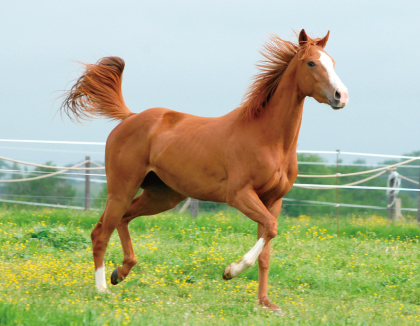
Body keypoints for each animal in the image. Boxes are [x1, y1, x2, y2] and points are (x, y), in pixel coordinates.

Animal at [59, 29, 348, 312]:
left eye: (333, 62)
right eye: (311, 63)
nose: (341, 96)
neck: (268, 138)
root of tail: (130, 118)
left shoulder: (273, 200)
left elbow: (267, 246)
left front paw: (266, 303)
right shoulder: (239, 195)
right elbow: (270, 229)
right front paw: (230, 271)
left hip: (162, 196)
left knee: (123, 219)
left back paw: (120, 272)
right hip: (122, 188)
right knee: (101, 232)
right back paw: (102, 289)